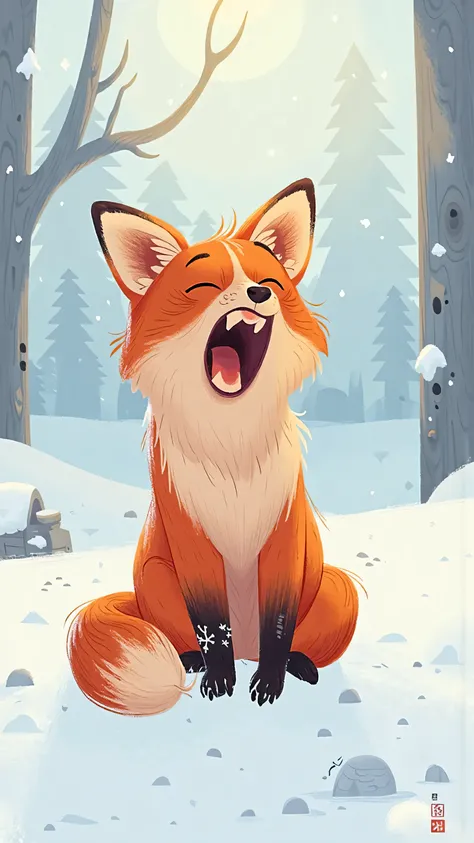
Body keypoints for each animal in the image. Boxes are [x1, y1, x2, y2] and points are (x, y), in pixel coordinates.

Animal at [66, 178, 359, 715]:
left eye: (270, 282)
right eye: (203, 288)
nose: (258, 293)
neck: (232, 449)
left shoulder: (283, 537)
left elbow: (279, 624)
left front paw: (269, 684)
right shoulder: (192, 539)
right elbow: (210, 626)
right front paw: (220, 682)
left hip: (336, 586)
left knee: (293, 643)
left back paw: (300, 666)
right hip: (156, 576)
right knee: (188, 638)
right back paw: (191, 661)